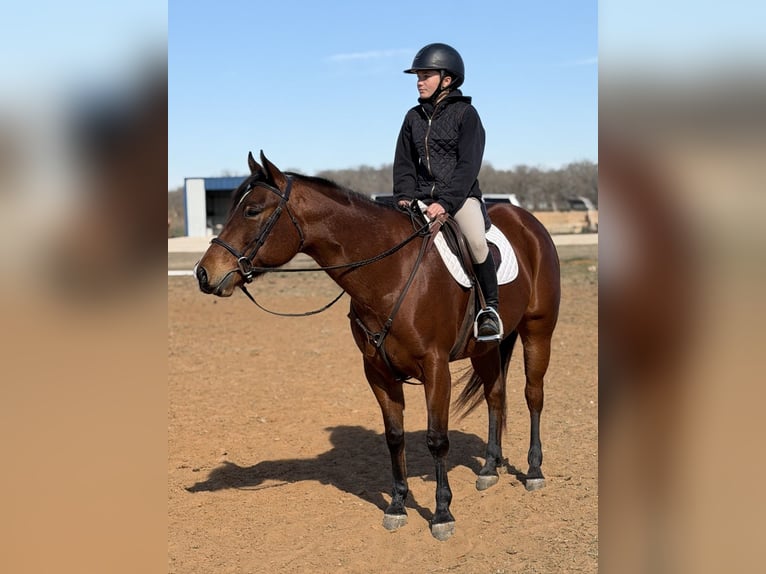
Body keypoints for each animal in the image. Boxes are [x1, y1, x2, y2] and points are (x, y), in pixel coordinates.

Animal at [195, 151, 561, 541]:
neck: (391, 270)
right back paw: (490, 468)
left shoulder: (435, 368)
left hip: (538, 331)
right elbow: (394, 437)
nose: (204, 273)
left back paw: (534, 471)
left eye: (252, 210)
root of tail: (528, 221)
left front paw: (442, 514)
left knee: (533, 395)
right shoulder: (377, 371)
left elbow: (436, 438)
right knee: (495, 396)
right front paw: (397, 505)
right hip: (485, 349)